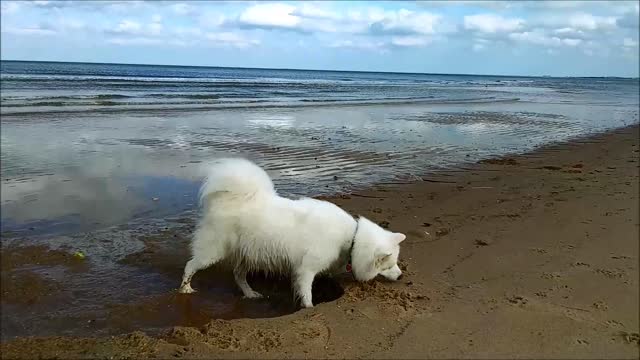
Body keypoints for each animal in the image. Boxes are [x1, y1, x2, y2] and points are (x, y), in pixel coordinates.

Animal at [178, 158, 402, 306]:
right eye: (388, 265)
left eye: (395, 263)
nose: (401, 276)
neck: (352, 238)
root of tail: (228, 200)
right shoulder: (306, 269)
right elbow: (306, 292)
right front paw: (308, 308)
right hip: (213, 251)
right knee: (190, 265)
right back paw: (185, 288)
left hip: (247, 254)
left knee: (238, 276)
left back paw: (250, 294)